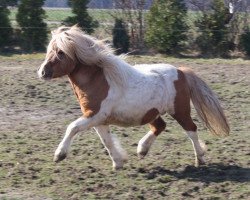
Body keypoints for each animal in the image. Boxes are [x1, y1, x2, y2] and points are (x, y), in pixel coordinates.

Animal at [37, 25, 230, 170]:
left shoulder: (95, 115)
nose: (42, 72)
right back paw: (142, 150)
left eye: (60, 52)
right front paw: (118, 162)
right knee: (160, 126)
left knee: (191, 129)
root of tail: (181, 72)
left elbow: (72, 128)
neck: (98, 79)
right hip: (153, 112)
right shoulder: (98, 119)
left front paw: (59, 155)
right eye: (49, 50)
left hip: (180, 111)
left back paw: (200, 159)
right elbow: (106, 140)